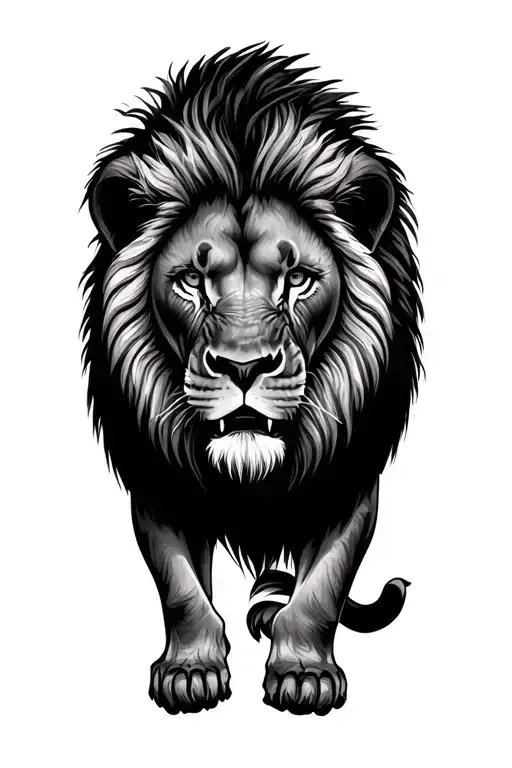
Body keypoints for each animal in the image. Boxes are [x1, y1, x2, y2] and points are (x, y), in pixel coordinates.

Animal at [81, 43, 423, 717]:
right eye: (192, 279)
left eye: (298, 279)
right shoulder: (159, 476)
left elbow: (322, 587)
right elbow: (180, 586)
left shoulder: (348, 473)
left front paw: (304, 674)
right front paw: (190, 671)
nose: (243, 368)